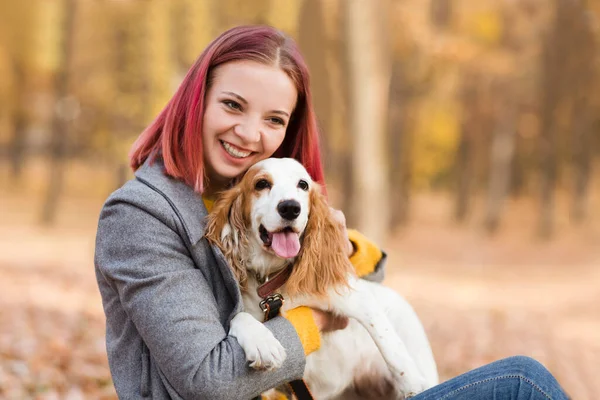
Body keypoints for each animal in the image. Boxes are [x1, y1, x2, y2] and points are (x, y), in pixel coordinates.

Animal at [206, 158, 436, 398]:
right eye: (261, 184)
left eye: (303, 184)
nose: (290, 208)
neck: (275, 278)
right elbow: (238, 317)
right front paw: (262, 343)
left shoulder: (357, 299)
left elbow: (389, 343)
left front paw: (412, 383)